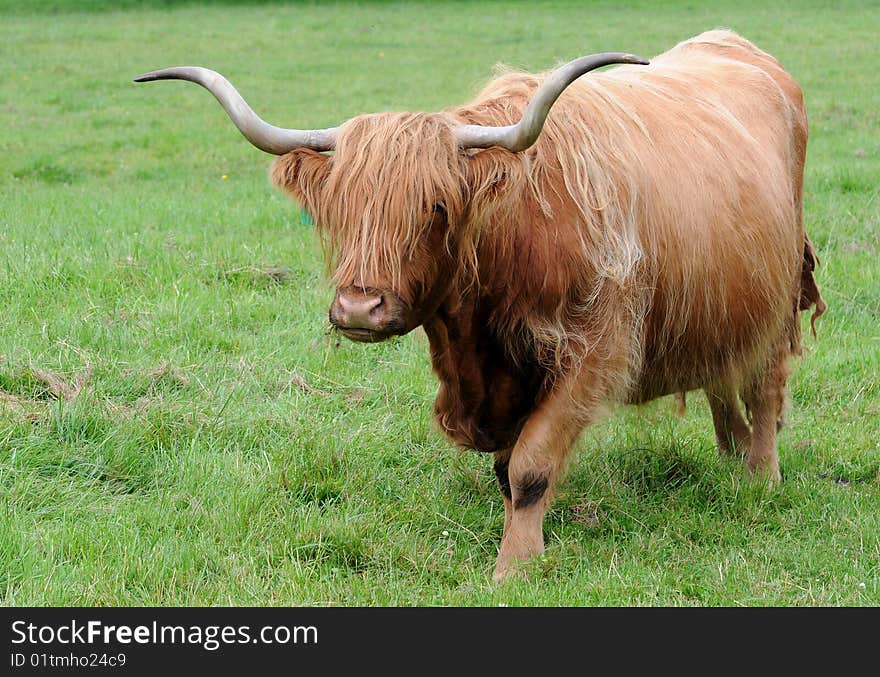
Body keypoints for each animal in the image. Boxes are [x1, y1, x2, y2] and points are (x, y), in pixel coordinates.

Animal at [136, 30, 824, 580]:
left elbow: (530, 465)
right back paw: (731, 459)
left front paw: (516, 564)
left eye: (436, 206)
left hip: (779, 298)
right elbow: (504, 467)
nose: (359, 308)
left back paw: (759, 479)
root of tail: (735, 45)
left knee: (766, 386)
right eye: (338, 208)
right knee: (723, 379)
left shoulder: (596, 352)